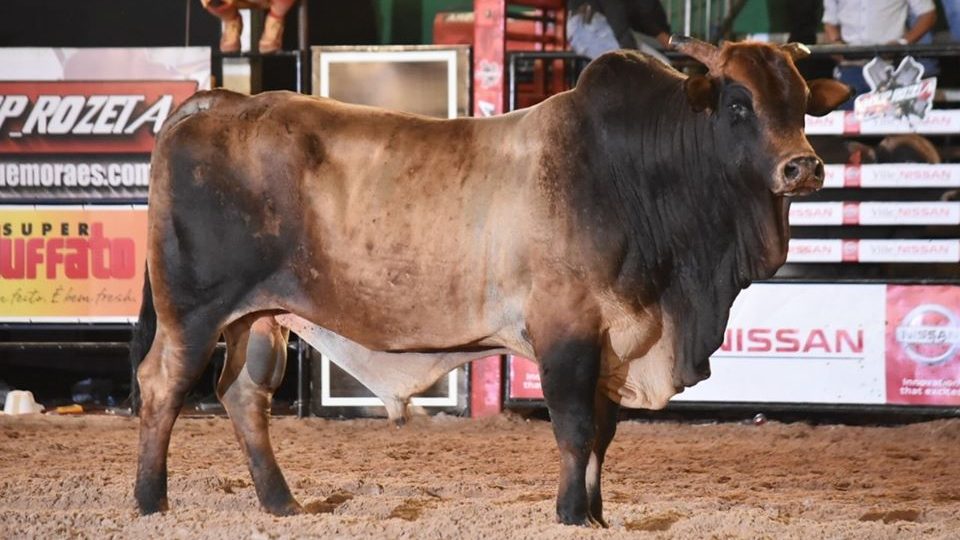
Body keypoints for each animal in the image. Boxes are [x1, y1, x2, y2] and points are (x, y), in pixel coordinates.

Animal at [133, 39, 848, 528]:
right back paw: (150, 501)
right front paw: (571, 515)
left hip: (259, 316)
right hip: (193, 310)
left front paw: (596, 514)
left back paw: (281, 503)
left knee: (243, 395)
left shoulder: (616, 341)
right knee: (162, 385)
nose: (803, 166)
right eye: (738, 105)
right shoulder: (567, 330)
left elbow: (602, 435)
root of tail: (224, 101)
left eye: (801, 104)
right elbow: (574, 429)